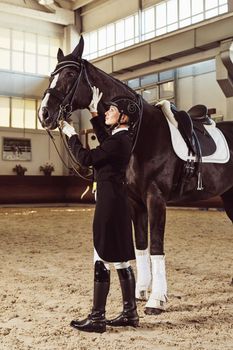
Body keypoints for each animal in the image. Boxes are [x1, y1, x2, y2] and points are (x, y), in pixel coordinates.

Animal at [39, 37, 233, 316]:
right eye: (52, 75)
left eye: (70, 74)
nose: (44, 114)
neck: (141, 133)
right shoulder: (134, 201)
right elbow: (140, 245)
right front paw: (141, 291)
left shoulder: (156, 198)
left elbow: (156, 246)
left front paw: (157, 299)